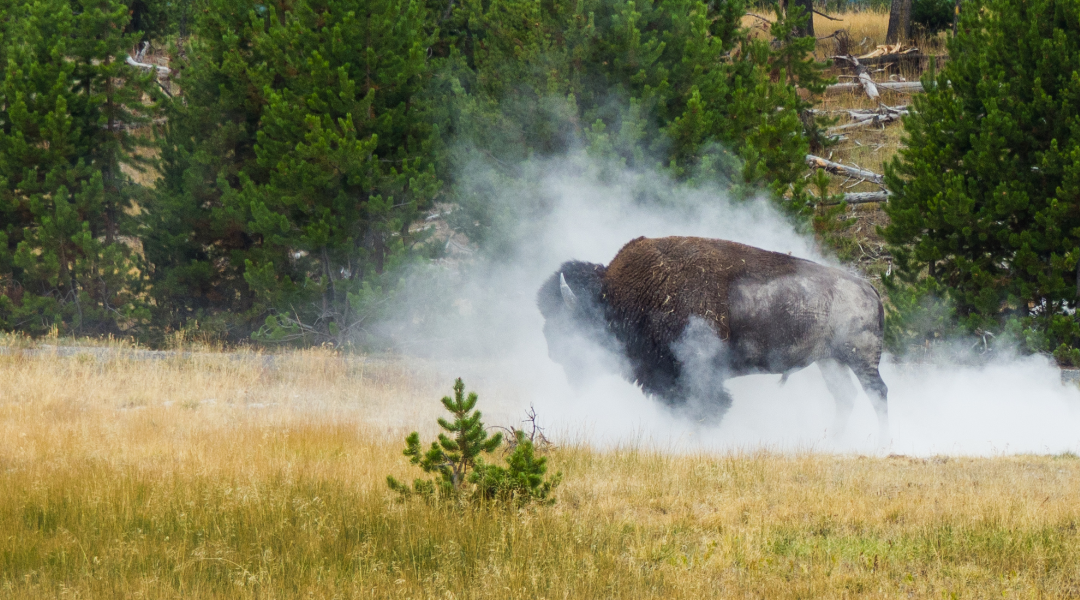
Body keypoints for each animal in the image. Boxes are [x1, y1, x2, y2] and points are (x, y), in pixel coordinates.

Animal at [535, 235, 889, 440]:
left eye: (566, 321)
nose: (552, 352)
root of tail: (869, 288)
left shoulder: (691, 373)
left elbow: (707, 406)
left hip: (859, 357)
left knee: (877, 392)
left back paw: (883, 443)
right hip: (829, 361)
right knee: (845, 396)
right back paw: (830, 440)